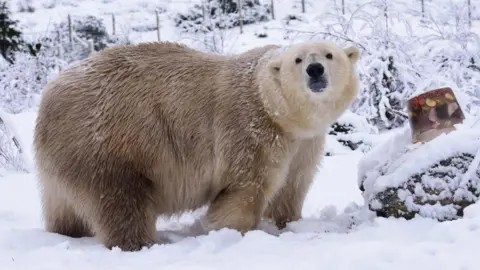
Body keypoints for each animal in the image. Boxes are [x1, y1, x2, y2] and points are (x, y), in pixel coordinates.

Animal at [33, 40, 360, 251]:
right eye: (298, 59)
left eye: (329, 55)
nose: (315, 69)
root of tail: (48, 98)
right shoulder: (250, 128)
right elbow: (245, 188)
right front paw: (235, 232)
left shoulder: (305, 142)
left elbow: (292, 185)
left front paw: (288, 223)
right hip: (110, 143)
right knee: (120, 199)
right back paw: (143, 243)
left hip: (66, 156)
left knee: (63, 206)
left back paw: (68, 232)